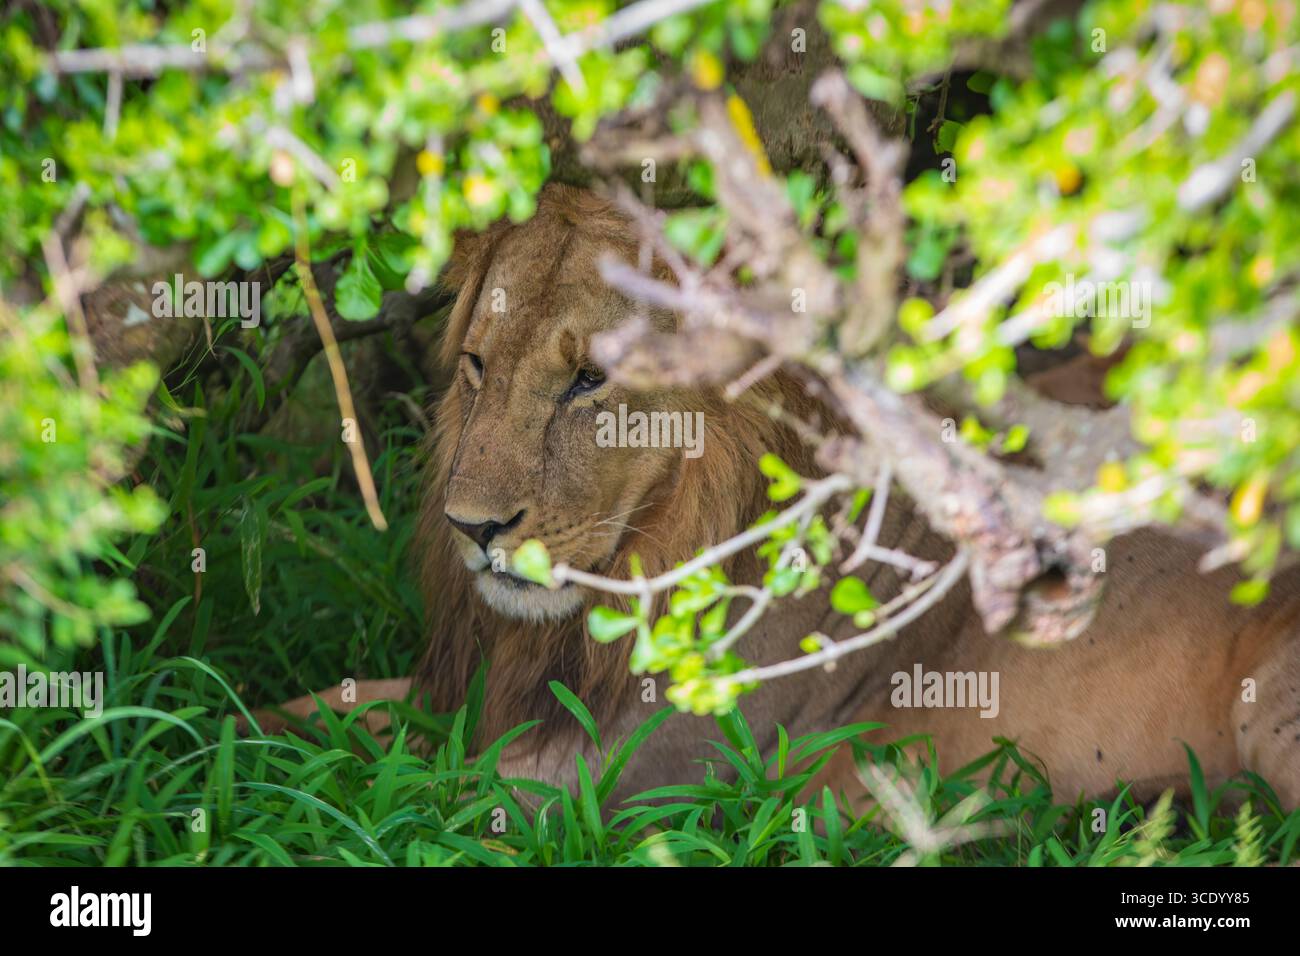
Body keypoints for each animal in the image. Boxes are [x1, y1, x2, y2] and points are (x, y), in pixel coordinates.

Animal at [266, 183, 1300, 809]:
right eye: (479, 364)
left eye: (590, 381)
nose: (473, 527)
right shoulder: (472, 696)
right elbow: (309, 714)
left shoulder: (625, 776)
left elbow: (392, 789)